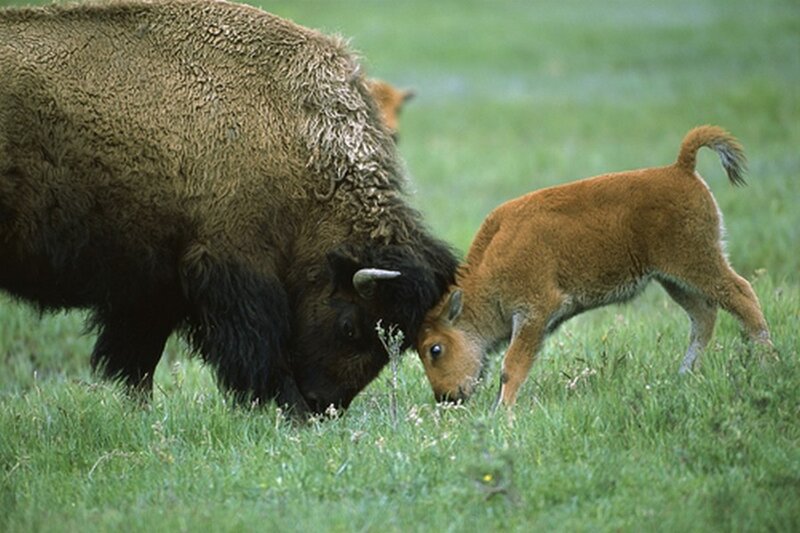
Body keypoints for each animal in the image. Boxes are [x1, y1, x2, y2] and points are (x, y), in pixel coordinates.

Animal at [0, 0, 457, 416]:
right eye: (350, 326)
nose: (323, 405)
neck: (294, 137)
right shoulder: (233, 266)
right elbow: (256, 347)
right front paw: (287, 409)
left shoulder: (157, 282)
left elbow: (138, 359)